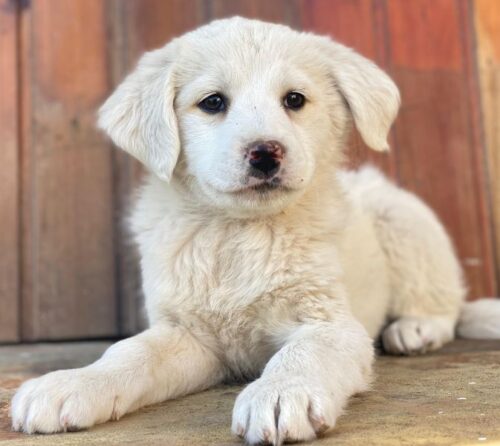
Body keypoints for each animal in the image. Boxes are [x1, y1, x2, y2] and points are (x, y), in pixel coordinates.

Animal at [11, 17, 500, 445]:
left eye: (295, 100)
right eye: (212, 102)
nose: (266, 153)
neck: (239, 232)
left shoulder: (331, 322)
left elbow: (302, 353)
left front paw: (281, 393)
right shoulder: (187, 334)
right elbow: (130, 352)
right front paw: (73, 384)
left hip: (403, 220)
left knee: (445, 304)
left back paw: (415, 328)